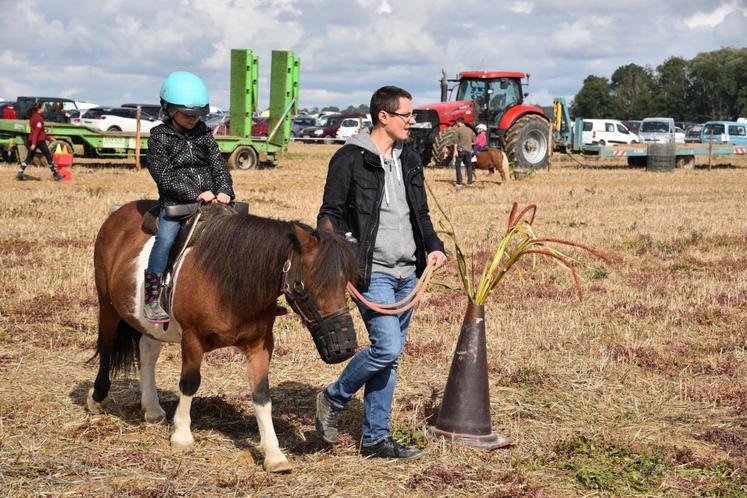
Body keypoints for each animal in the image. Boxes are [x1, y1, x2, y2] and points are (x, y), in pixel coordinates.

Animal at [89, 200, 358, 472]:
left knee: (147, 352)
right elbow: (189, 383)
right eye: (310, 286)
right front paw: (182, 435)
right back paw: (97, 397)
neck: (227, 281)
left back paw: (152, 407)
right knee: (108, 347)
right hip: (108, 305)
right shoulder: (192, 339)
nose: (344, 347)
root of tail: (118, 213)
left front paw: (274, 454)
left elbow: (261, 394)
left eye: (344, 282)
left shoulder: (260, 345)